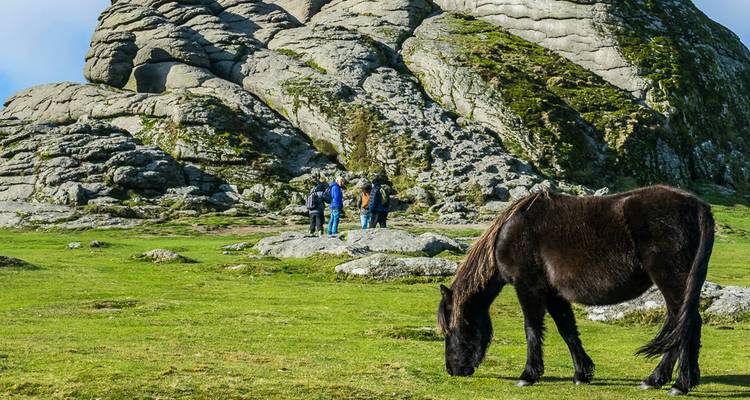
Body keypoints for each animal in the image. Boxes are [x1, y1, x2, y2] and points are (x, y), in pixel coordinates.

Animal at [437, 185, 714, 396]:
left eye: (453, 329)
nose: (453, 369)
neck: (512, 233)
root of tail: (697, 206)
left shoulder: (528, 287)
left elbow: (532, 329)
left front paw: (528, 375)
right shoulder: (554, 294)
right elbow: (567, 330)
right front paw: (582, 373)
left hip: (671, 281)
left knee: (684, 324)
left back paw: (670, 382)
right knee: (686, 324)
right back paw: (677, 380)